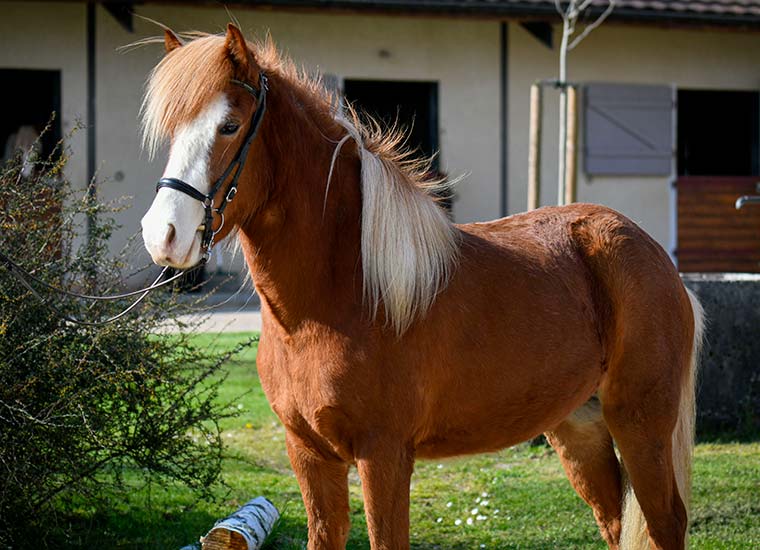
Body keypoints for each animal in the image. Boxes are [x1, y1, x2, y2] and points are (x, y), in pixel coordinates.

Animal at [139, 24, 704, 550]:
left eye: (229, 126)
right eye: (172, 132)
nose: (162, 235)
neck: (337, 299)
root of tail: (655, 256)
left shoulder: (383, 454)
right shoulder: (309, 453)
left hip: (640, 421)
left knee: (667, 521)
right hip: (579, 427)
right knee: (615, 521)